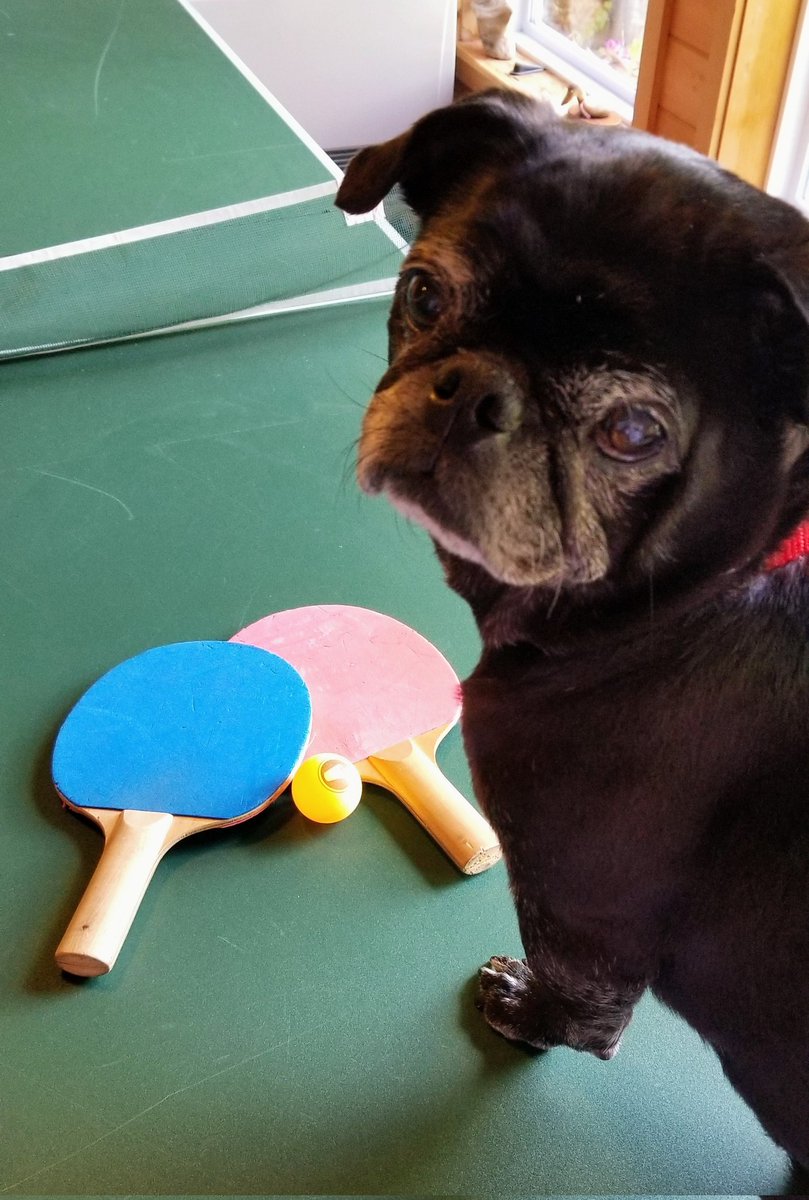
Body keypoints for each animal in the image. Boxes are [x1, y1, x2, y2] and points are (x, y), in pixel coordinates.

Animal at [333, 88, 806, 1166]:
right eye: (424, 295)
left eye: (628, 432)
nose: (469, 393)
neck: (704, 590)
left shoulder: (575, 905)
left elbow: (585, 1004)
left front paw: (530, 1015)